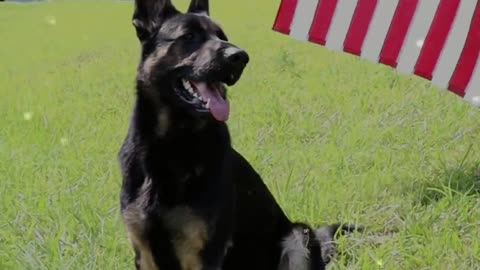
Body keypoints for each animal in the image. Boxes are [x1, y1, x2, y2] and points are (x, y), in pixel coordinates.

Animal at [119, 0, 360, 268]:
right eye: (189, 36)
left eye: (222, 37)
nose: (240, 57)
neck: (172, 143)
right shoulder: (144, 253)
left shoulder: (203, 255)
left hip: (299, 236)